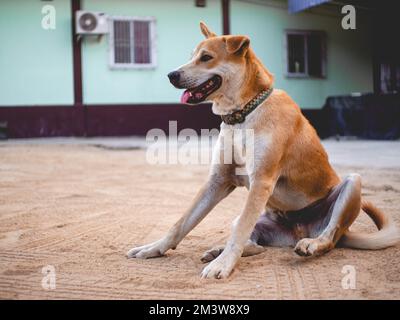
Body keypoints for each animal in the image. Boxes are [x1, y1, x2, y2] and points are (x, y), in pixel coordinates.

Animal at [127, 22, 396, 278]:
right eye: (192, 56)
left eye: (206, 57)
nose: (171, 75)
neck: (242, 114)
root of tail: (299, 230)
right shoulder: (217, 181)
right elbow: (182, 222)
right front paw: (154, 248)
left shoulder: (261, 181)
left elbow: (238, 230)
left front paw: (222, 265)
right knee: (255, 245)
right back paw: (218, 250)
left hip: (352, 184)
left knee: (329, 236)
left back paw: (311, 245)